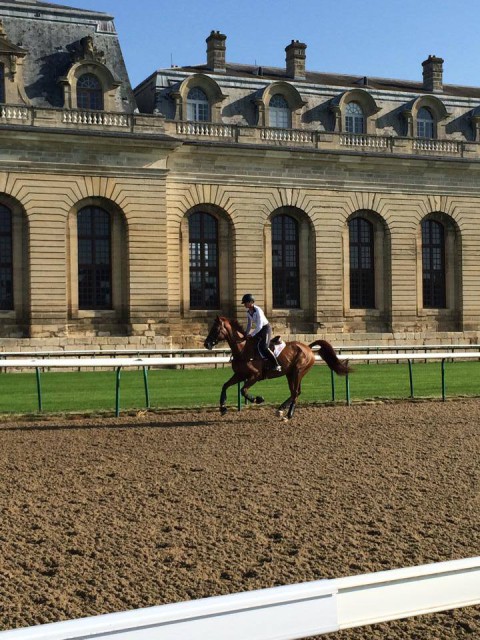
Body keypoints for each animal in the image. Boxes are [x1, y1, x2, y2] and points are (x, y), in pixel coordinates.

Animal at [204, 316, 350, 420]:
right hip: (290, 374)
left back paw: (288, 414)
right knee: (295, 392)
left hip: (298, 372)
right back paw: (281, 410)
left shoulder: (255, 376)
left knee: (295, 392)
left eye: (215, 329)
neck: (243, 349)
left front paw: (258, 399)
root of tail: (308, 347)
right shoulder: (240, 375)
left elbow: (243, 390)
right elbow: (225, 385)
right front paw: (223, 408)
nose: (206, 344)